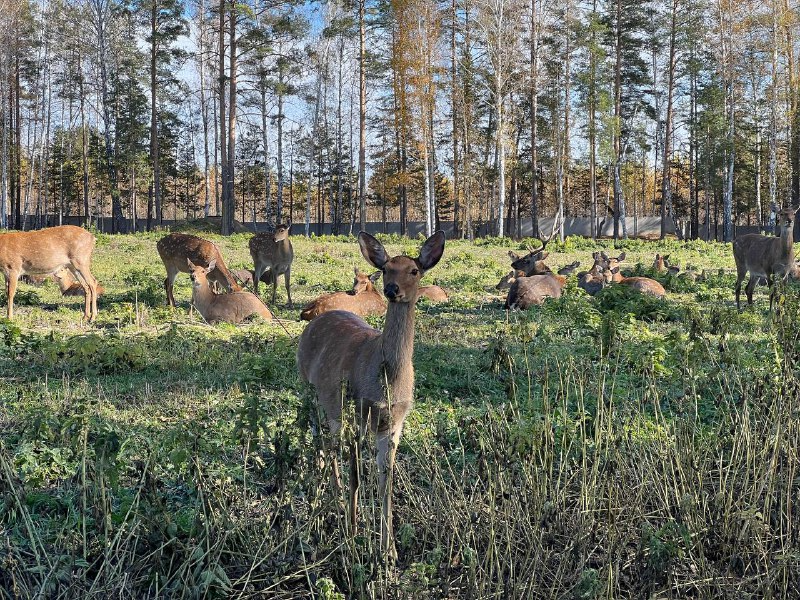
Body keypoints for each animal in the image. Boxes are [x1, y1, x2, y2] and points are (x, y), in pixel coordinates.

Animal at [296, 231, 446, 564]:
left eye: (414, 270)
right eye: (387, 268)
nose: (392, 289)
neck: (387, 379)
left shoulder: (394, 422)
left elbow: (385, 483)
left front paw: (389, 551)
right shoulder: (359, 411)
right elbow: (356, 477)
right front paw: (353, 536)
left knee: (327, 442)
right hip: (311, 388)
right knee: (321, 440)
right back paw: (328, 499)